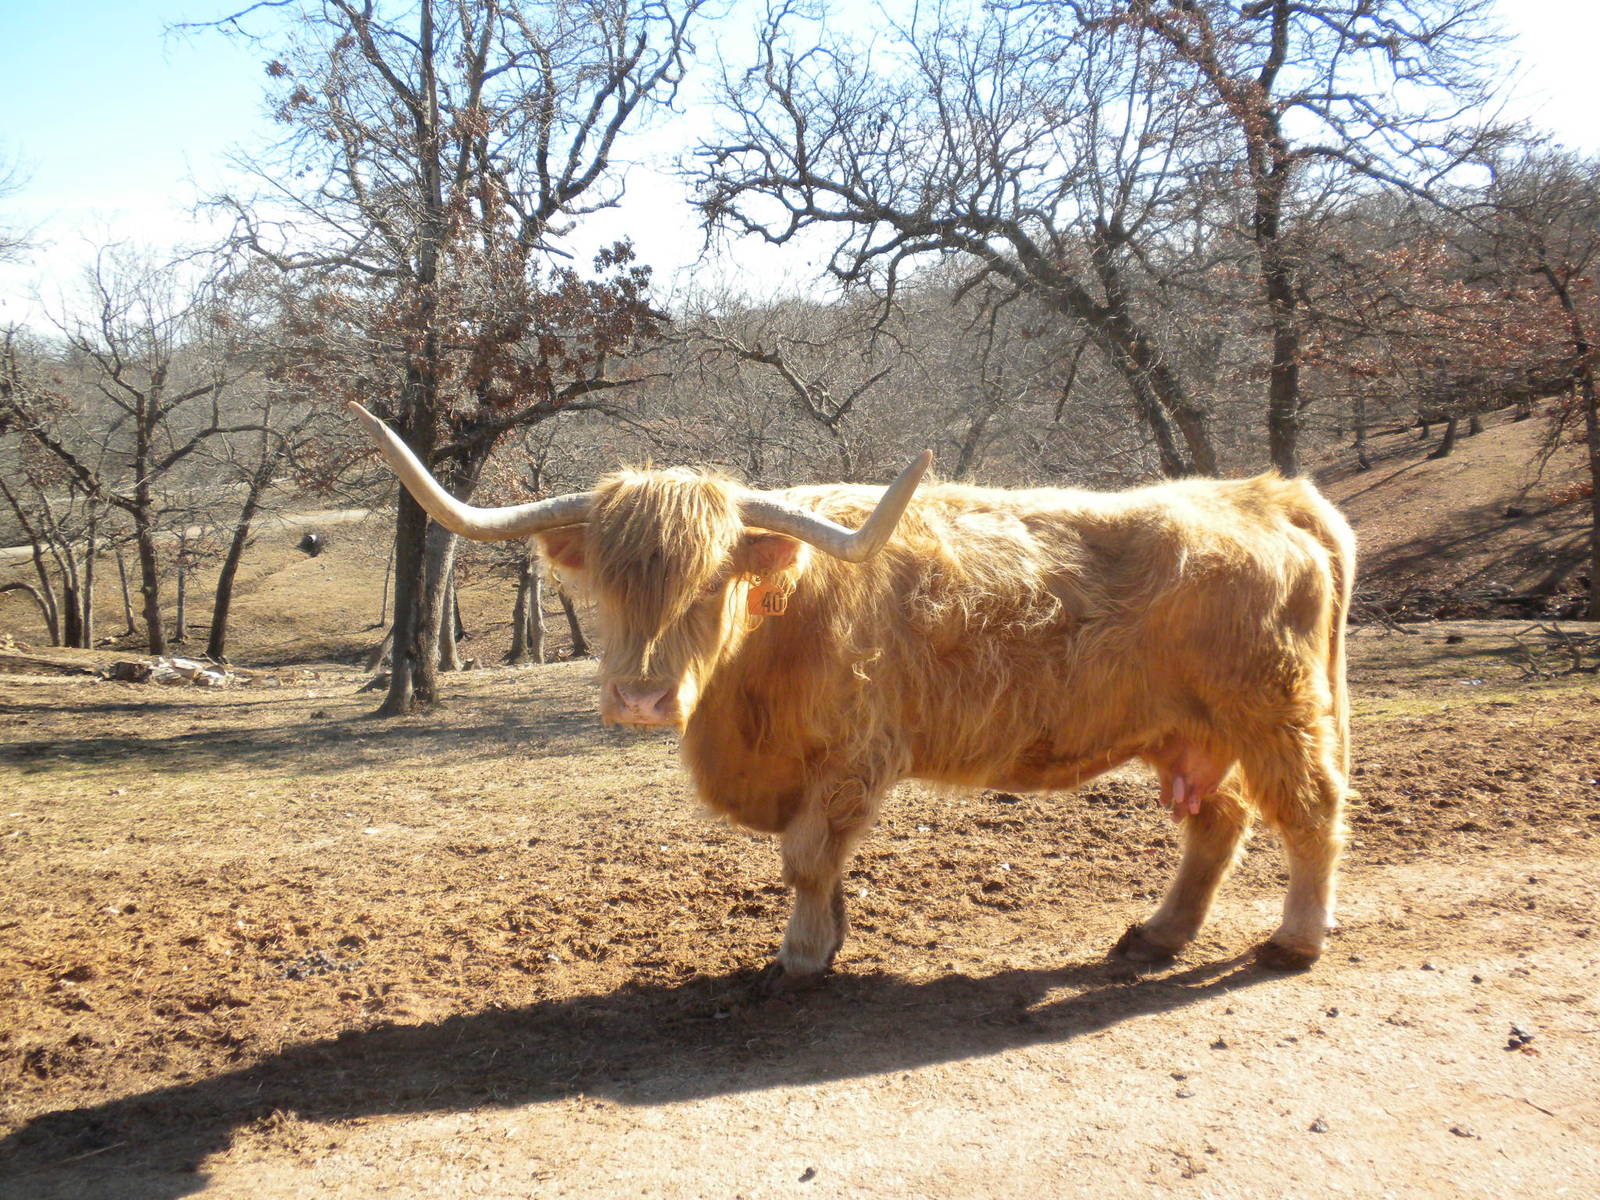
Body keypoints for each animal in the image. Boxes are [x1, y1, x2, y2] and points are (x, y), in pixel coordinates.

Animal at [349, 402, 1354, 982]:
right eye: (608, 584)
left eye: (711, 584)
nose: (639, 700)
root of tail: (1264, 493)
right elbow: (819, 863)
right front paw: (828, 936)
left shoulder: (851, 757)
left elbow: (805, 857)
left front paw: (799, 956)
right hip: (1193, 728)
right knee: (1220, 821)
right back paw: (1158, 933)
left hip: (1277, 711)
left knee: (1310, 812)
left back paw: (1294, 941)